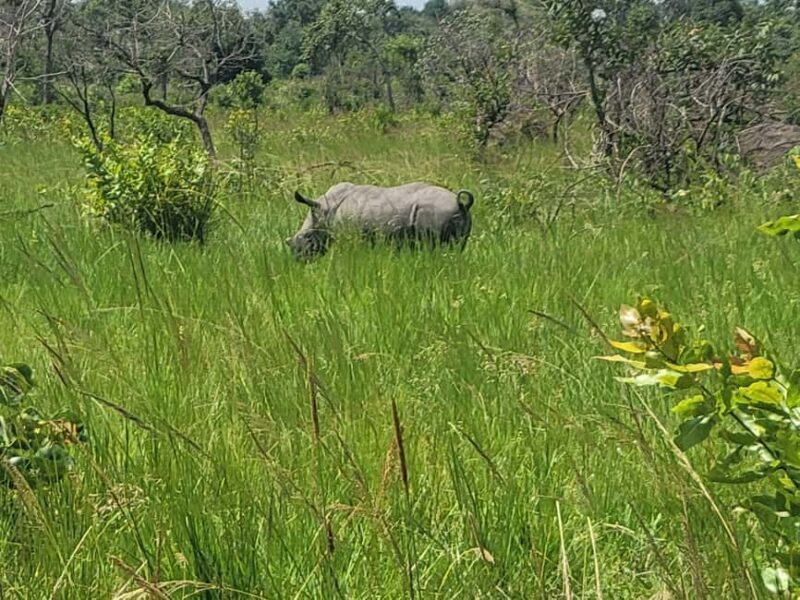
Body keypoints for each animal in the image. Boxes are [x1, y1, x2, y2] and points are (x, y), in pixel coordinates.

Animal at [284, 181, 475, 261]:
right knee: (458, 246)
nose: (299, 260)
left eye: (308, 237)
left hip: (435, 211)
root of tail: (461, 204)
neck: (323, 210)